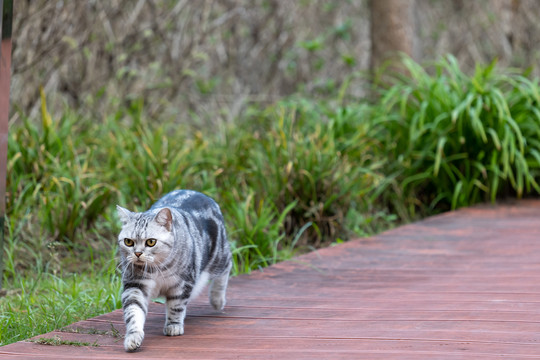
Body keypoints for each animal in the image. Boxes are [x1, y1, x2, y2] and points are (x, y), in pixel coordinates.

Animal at [116, 190, 232, 352]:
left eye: (151, 242)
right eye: (128, 242)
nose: (137, 253)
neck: (155, 269)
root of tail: (200, 194)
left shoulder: (182, 284)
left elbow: (176, 306)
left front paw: (174, 326)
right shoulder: (135, 285)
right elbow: (134, 311)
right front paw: (133, 337)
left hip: (218, 256)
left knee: (227, 265)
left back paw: (217, 300)